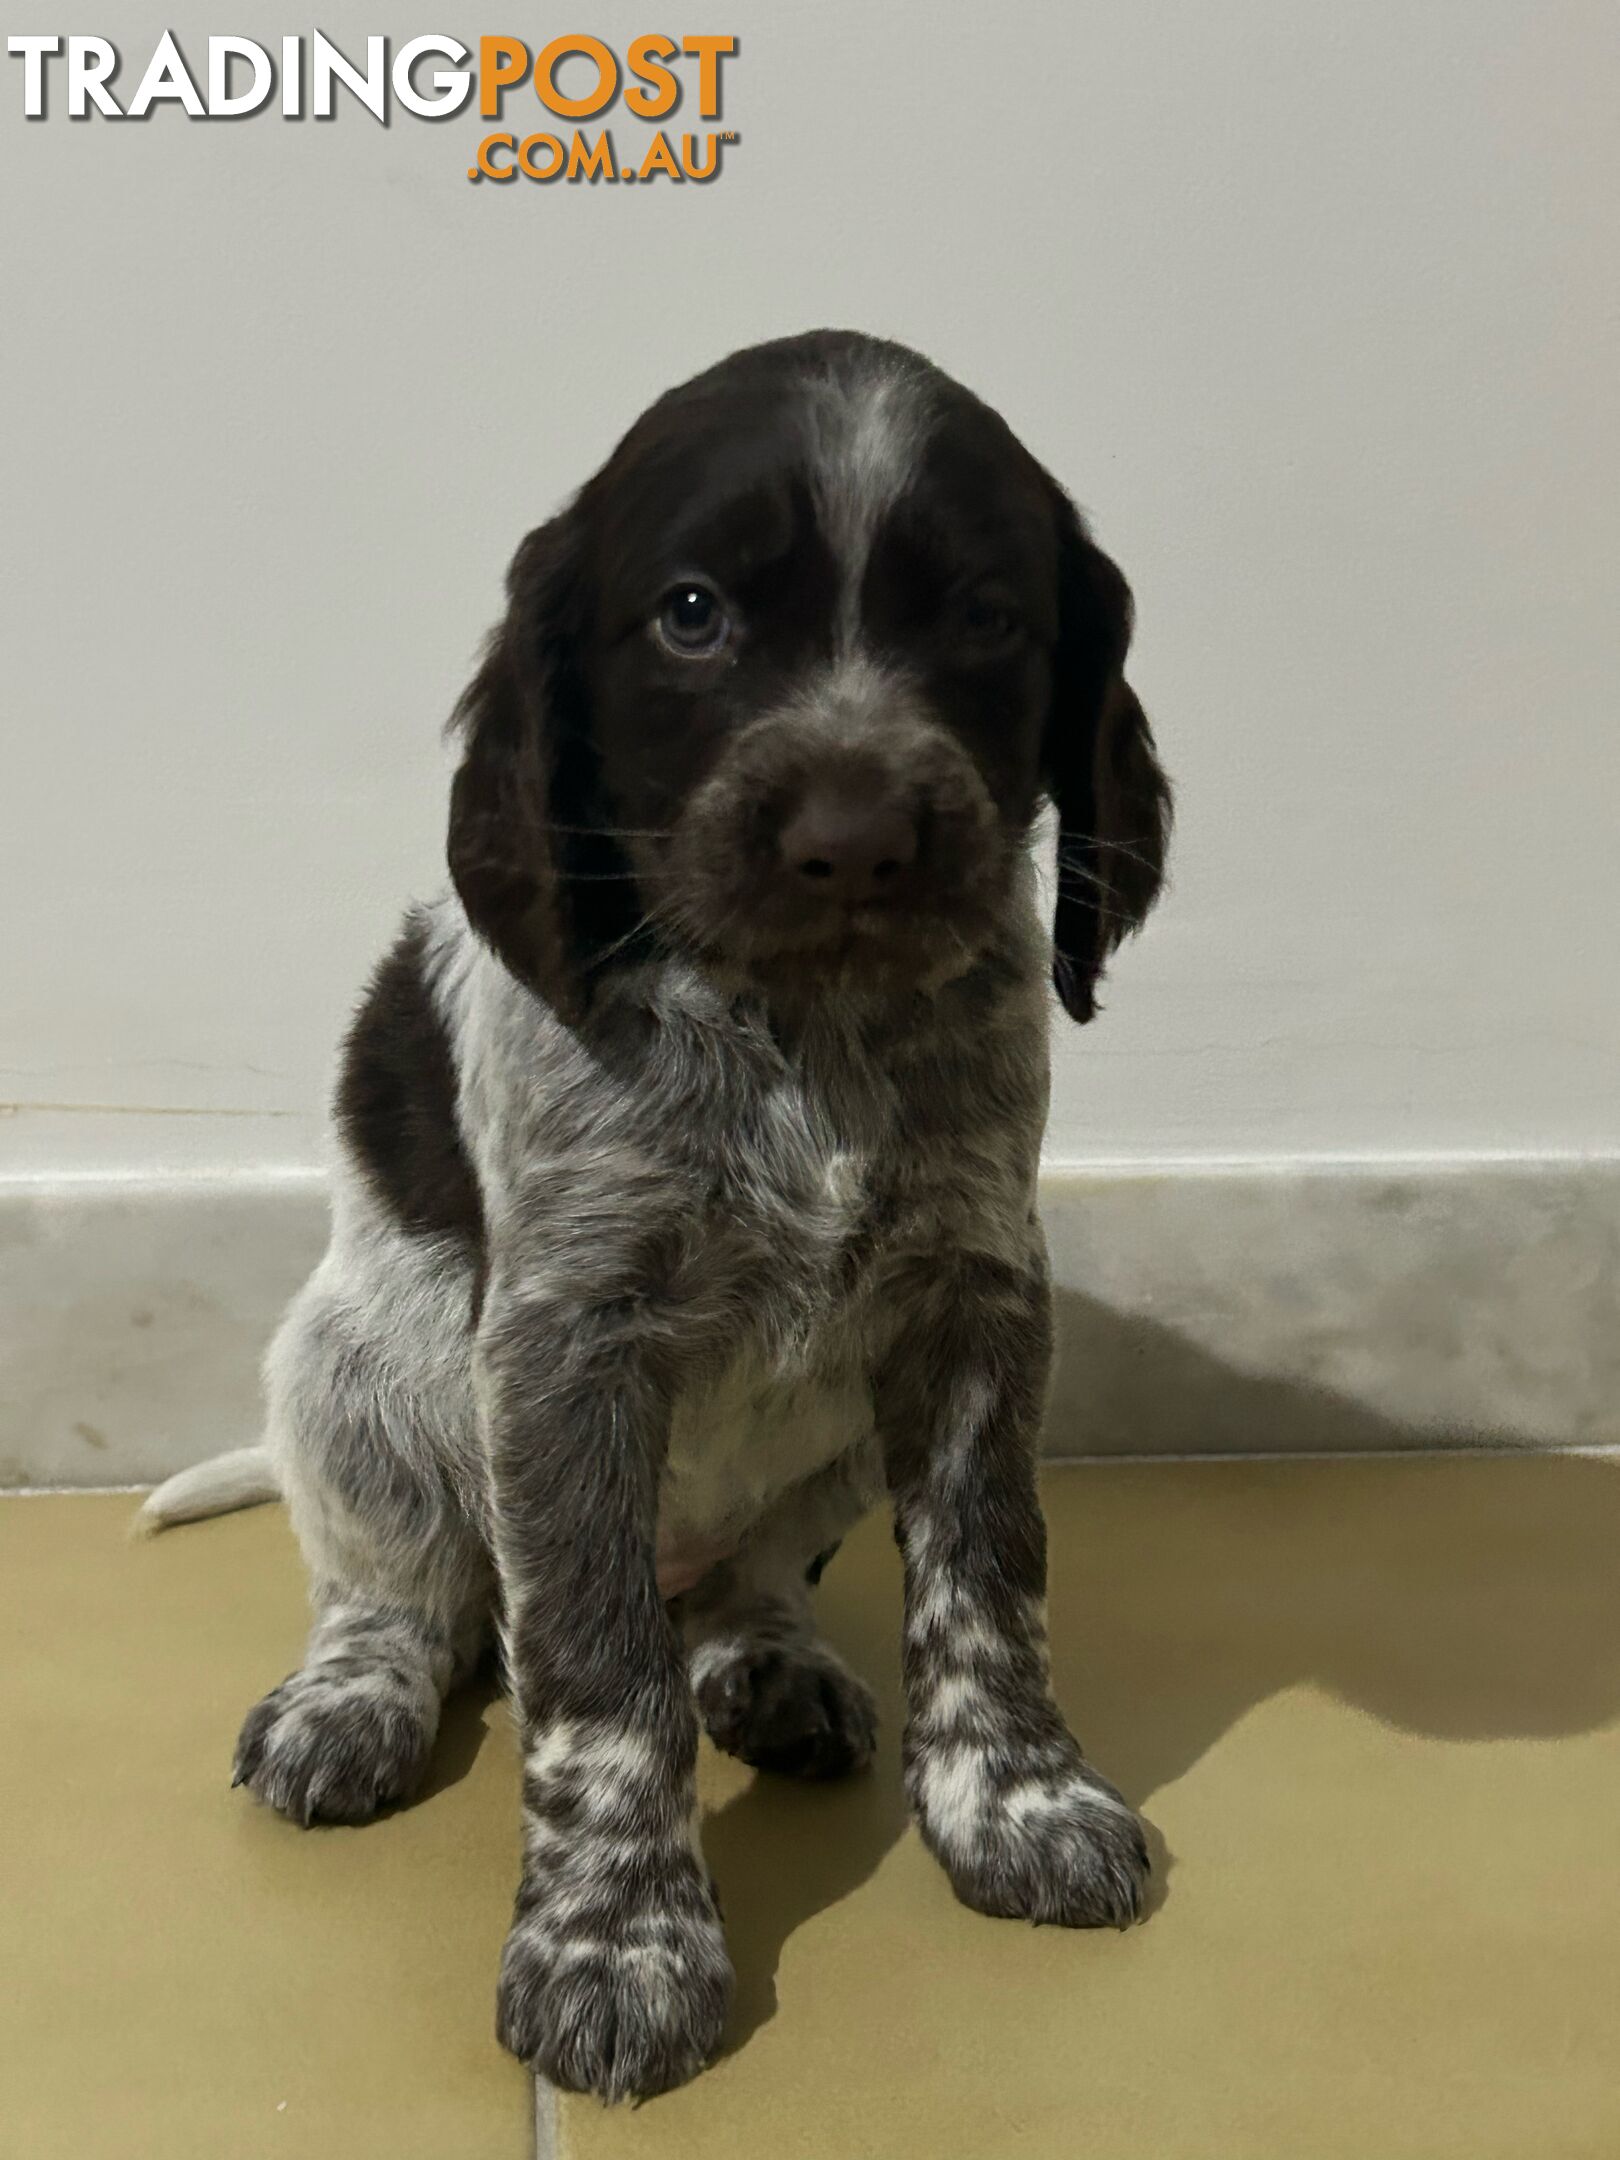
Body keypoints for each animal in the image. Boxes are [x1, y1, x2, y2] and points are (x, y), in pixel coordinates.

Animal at [145, 328, 1175, 2099]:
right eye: (692, 613)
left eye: (986, 618)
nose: (856, 842)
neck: (803, 1030)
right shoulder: (569, 1338)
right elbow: (598, 1668)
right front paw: (614, 1946)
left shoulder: (975, 1296)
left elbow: (989, 1574)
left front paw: (1017, 1801)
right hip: (351, 1366)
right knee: (403, 1585)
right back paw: (352, 1702)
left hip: (827, 1450)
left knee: (733, 1581)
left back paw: (767, 1661)